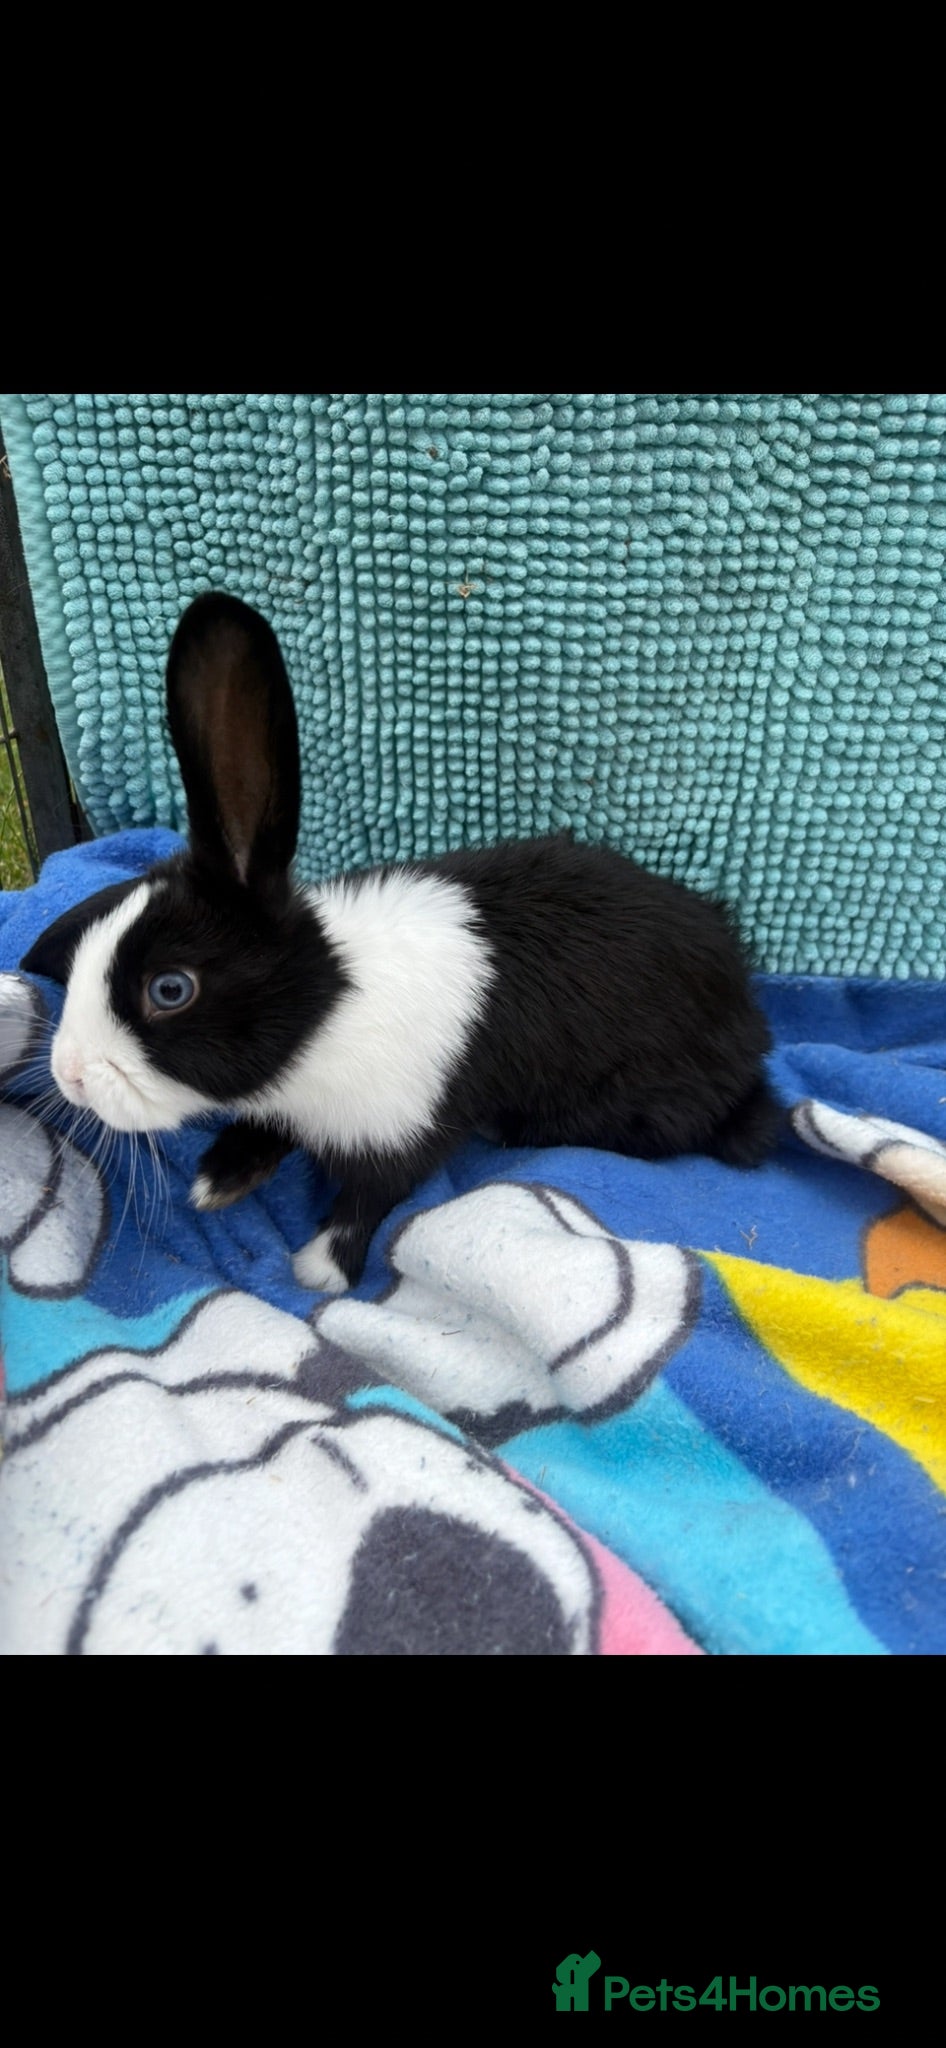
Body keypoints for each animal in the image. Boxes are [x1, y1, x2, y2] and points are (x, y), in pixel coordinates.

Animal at [21, 592, 781, 1294]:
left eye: (170, 989)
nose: (68, 1075)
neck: (323, 1013)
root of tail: (749, 1022)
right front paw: (222, 1177)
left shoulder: (408, 1125)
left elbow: (375, 1194)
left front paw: (323, 1268)